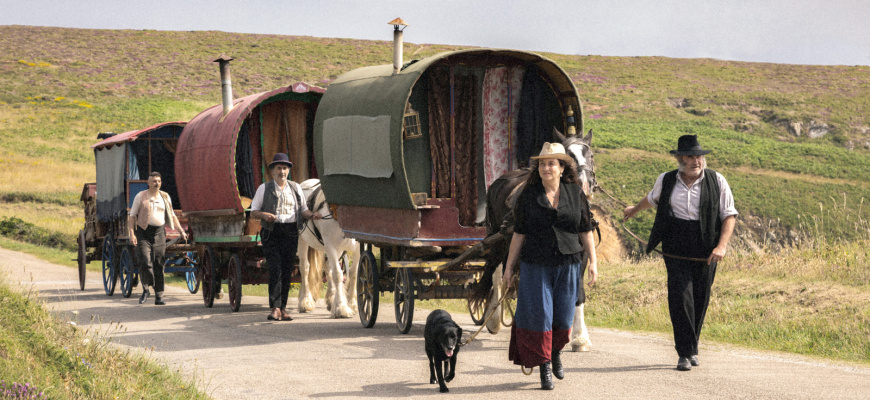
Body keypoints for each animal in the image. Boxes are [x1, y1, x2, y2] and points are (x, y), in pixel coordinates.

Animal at [294, 180, 360, 318]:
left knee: (328, 267)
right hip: (302, 240)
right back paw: (305, 301)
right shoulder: (331, 245)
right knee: (305, 268)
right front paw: (342, 307)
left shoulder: (358, 247)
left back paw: (331, 298)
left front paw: (352, 303)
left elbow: (353, 273)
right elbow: (338, 275)